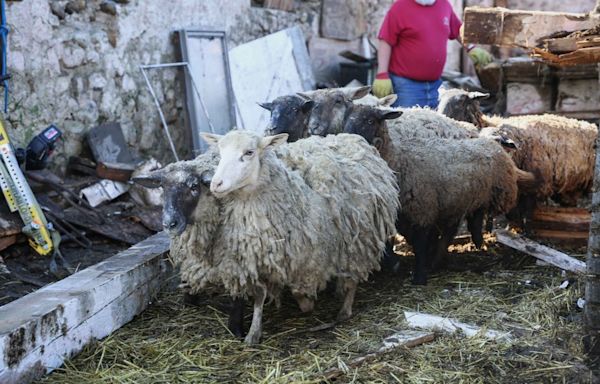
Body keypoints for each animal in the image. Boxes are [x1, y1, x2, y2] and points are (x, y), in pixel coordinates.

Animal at [344, 103, 536, 284]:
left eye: (370, 120)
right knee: (470, 216)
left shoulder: (422, 211)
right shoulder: (400, 216)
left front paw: (419, 277)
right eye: (346, 117)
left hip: (495, 193)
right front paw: (402, 265)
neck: (398, 159)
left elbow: (420, 245)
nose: (349, 137)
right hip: (462, 198)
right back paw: (468, 241)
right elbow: (398, 242)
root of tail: (491, 143)